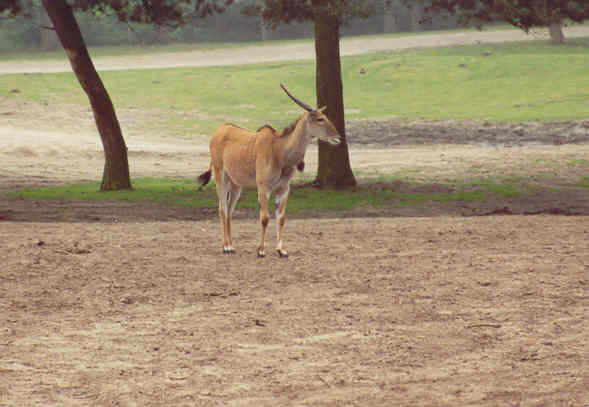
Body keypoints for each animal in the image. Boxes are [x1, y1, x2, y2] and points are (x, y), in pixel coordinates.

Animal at [198, 85, 340, 258]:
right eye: (320, 119)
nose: (338, 137)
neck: (279, 151)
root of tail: (218, 132)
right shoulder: (263, 187)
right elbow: (264, 218)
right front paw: (261, 250)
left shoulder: (284, 188)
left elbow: (281, 218)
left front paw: (282, 250)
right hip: (221, 177)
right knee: (222, 208)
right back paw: (226, 247)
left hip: (236, 185)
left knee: (230, 210)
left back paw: (232, 245)